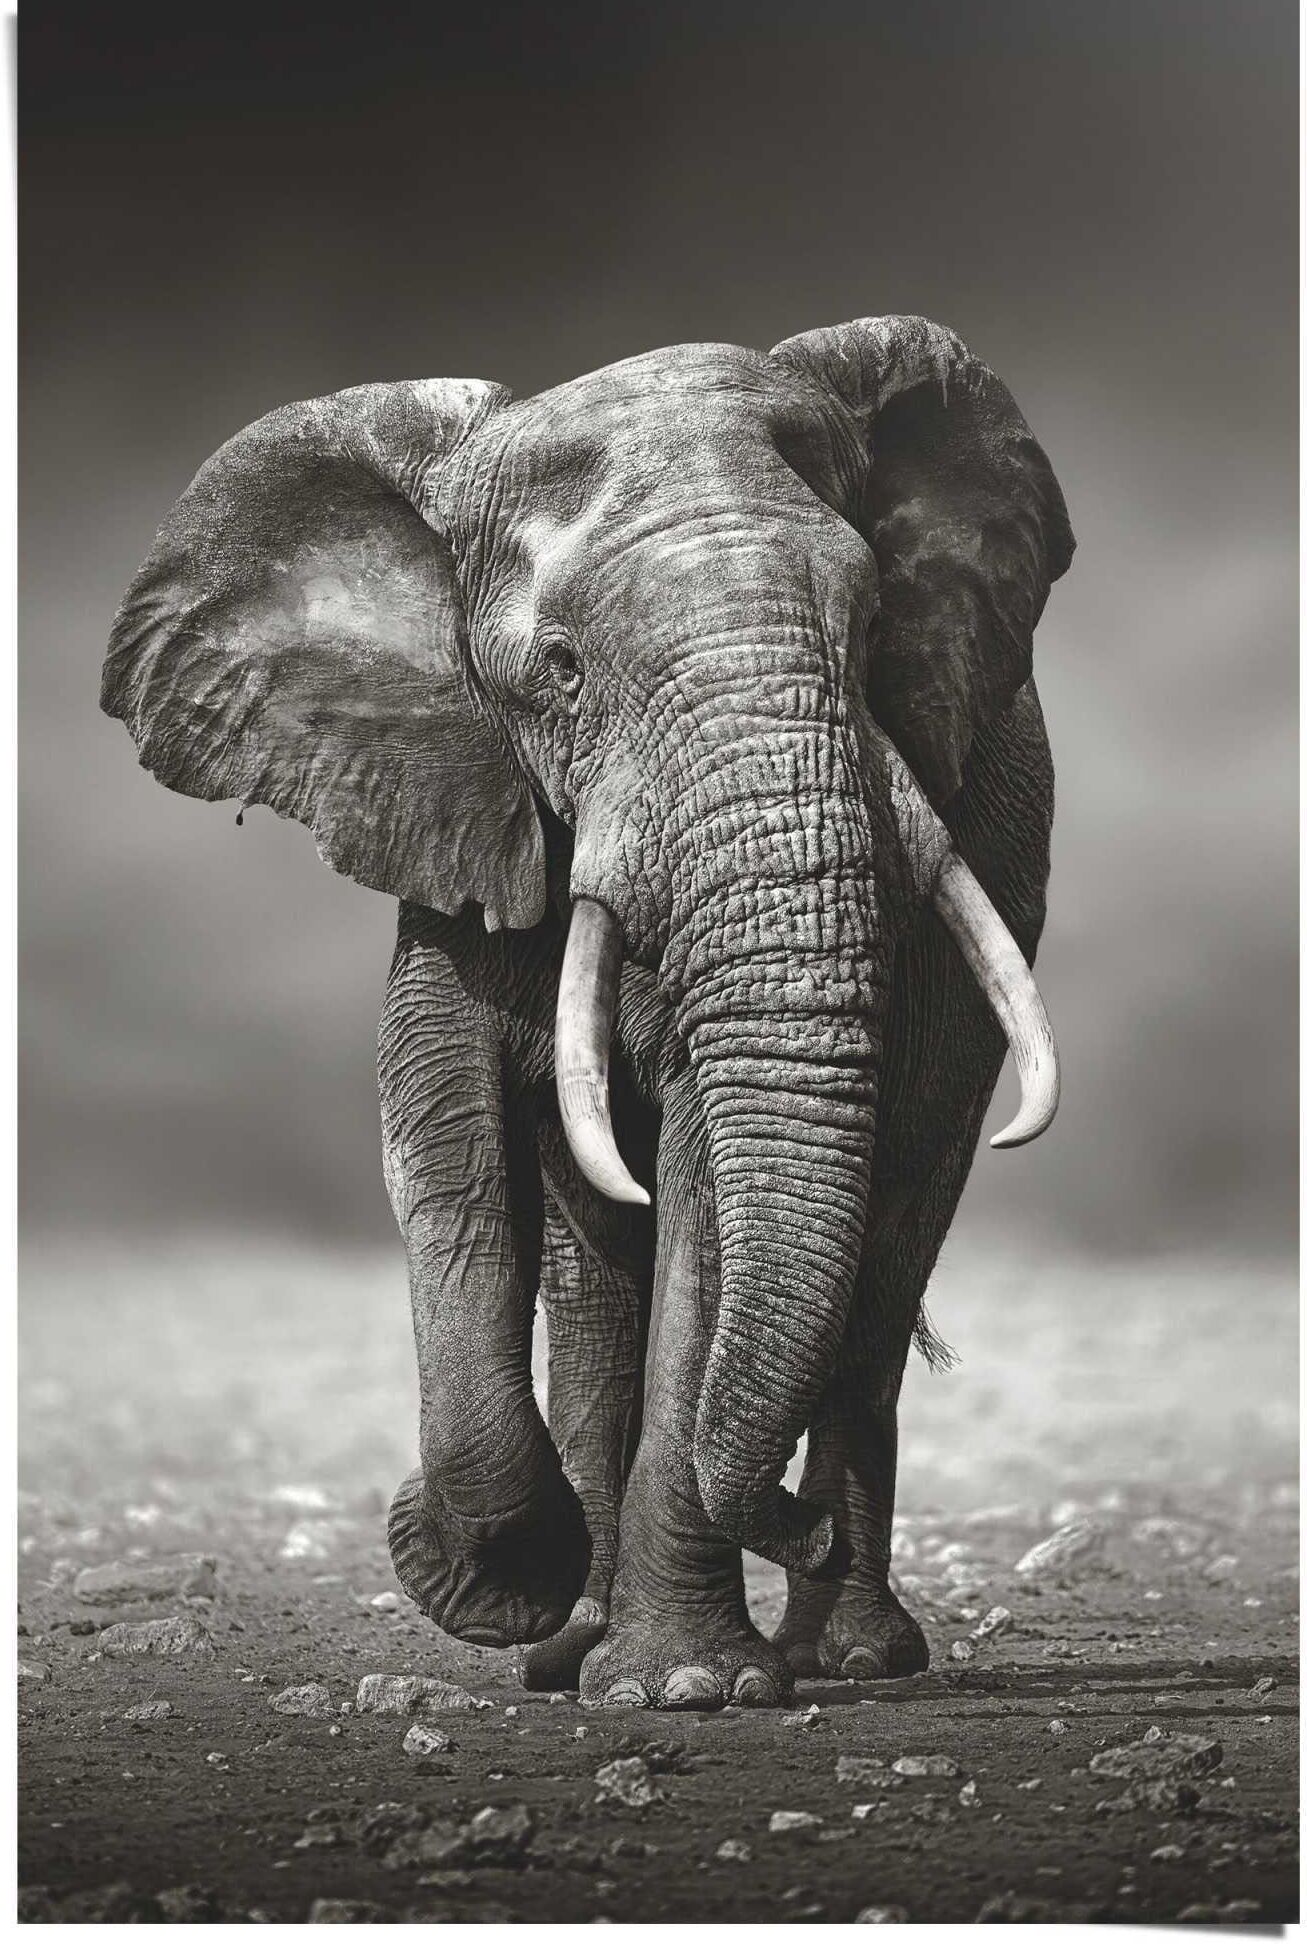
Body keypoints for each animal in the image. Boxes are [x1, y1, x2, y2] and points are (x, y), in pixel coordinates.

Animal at [101, 315, 1072, 1710]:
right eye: (557, 672)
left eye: (876, 624)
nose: (792, 1526)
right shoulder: (453, 802)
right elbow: (442, 1145)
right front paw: (500, 1584)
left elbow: (708, 1191)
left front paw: (689, 1689)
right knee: (600, 1282)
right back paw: (576, 1644)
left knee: (886, 1249)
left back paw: (843, 1654)